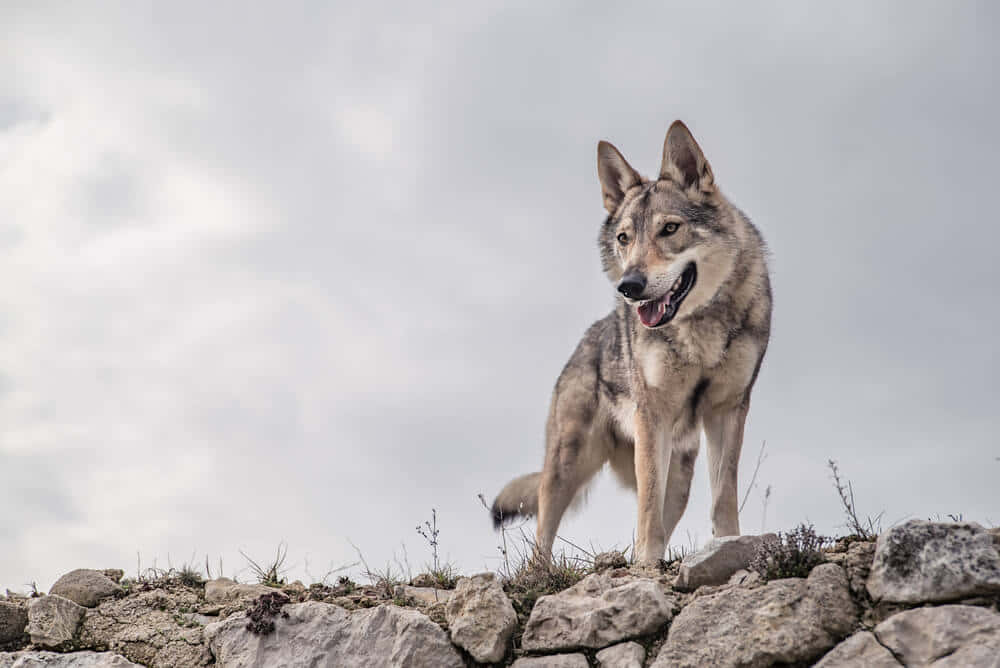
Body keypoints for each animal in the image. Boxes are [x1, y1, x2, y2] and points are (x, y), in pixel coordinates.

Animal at [490, 121, 772, 565]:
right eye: (624, 238)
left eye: (669, 229)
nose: (629, 286)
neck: (699, 330)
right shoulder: (652, 415)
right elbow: (648, 508)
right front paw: (647, 565)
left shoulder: (728, 410)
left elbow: (723, 498)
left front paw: (729, 548)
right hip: (567, 464)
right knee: (542, 537)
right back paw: (540, 574)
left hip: (679, 474)